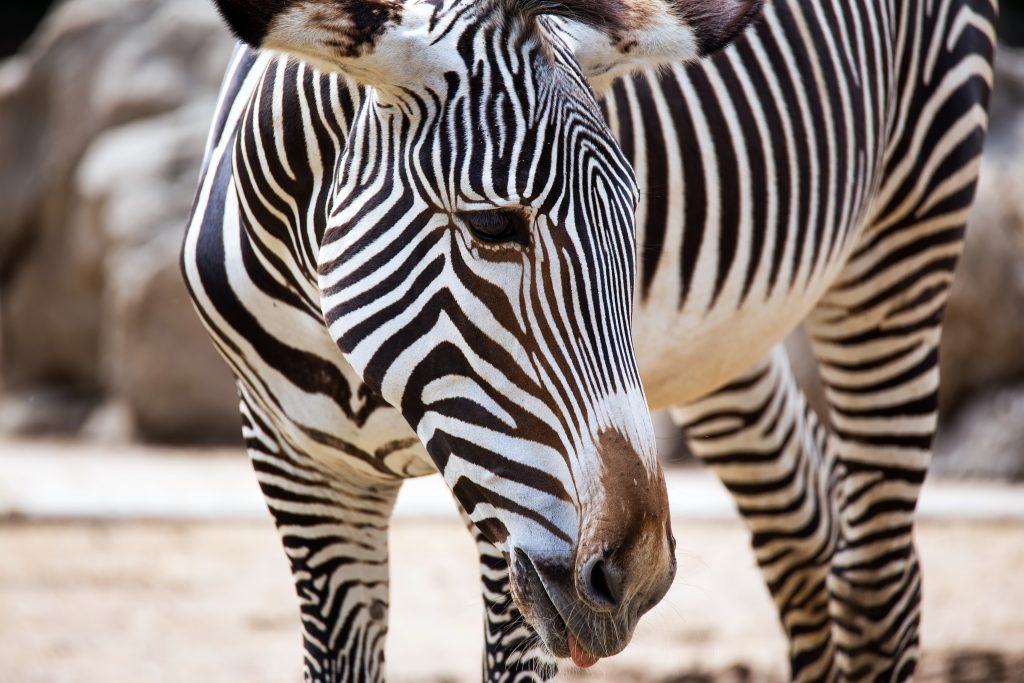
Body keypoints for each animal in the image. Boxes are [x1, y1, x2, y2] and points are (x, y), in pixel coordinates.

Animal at [182, 1, 991, 683]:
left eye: (636, 214)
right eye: (493, 224)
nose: (638, 576)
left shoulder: (511, 526)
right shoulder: (301, 471)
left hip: (906, 233)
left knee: (876, 579)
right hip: (720, 347)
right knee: (805, 524)